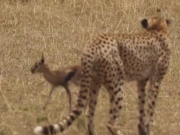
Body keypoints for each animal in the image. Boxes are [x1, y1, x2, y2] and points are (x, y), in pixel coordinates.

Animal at [34, 16, 172, 135]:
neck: (156, 29)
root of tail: (93, 45)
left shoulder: (142, 80)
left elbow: (142, 105)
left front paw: (142, 129)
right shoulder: (156, 80)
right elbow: (150, 108)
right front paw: (149, 129)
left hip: (95, 83)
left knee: (89, 116)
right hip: (117, 86)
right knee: (110, 122)